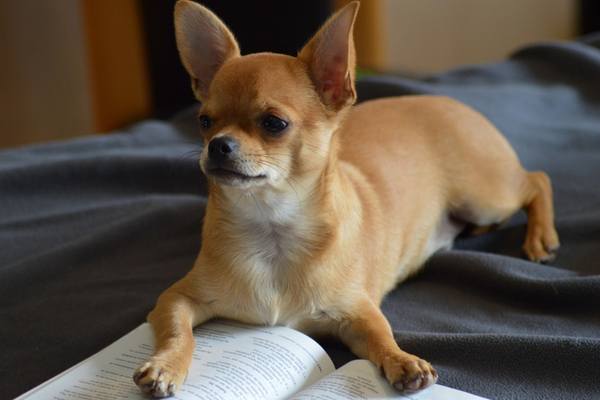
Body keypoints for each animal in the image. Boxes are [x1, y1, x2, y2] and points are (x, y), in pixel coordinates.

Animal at [134, 2, 560, 396]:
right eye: (204, 122)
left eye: (274, 123)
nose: (218, 145)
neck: (272, 228)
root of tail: (450, 102)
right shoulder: (176, 299)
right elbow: (178, 333)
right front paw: (165, 365)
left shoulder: (357, 314)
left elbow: (382, 335)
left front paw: (402, 361)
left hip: (485, 194)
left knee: (537, 181)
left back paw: (541, 238)